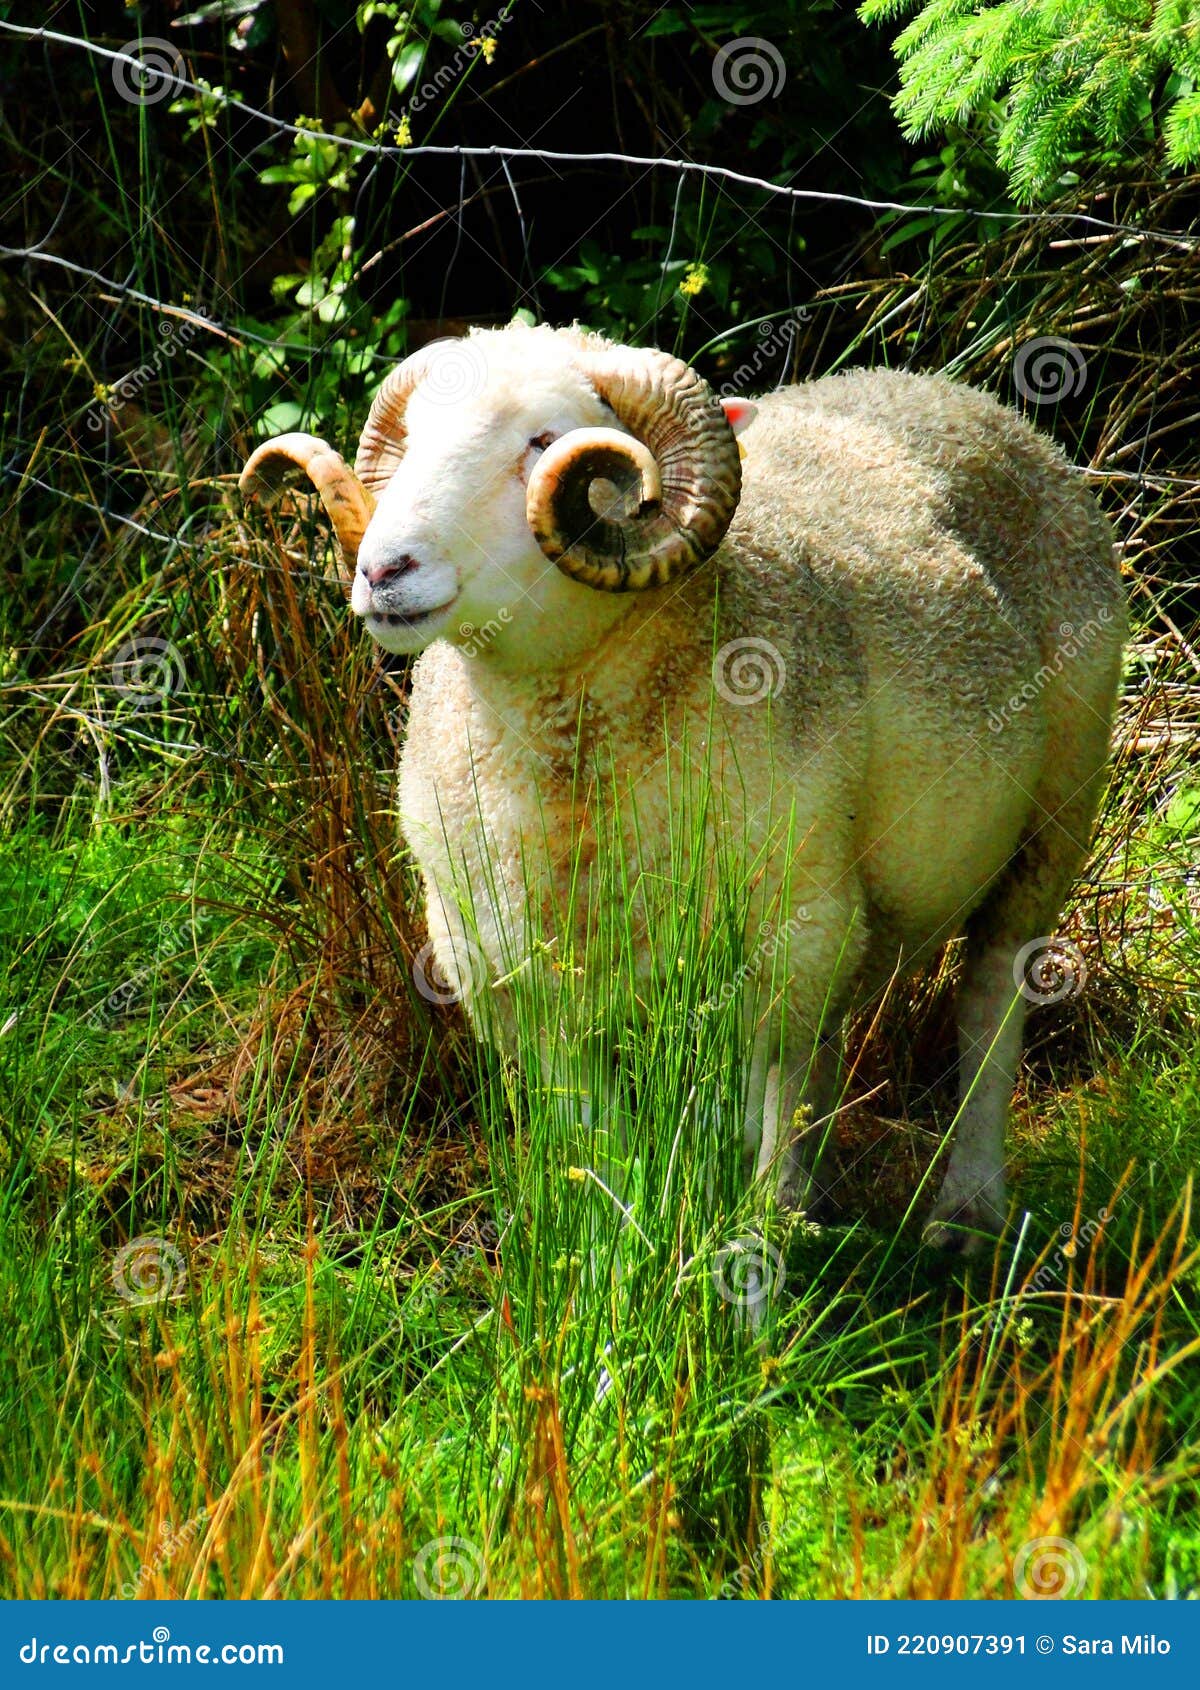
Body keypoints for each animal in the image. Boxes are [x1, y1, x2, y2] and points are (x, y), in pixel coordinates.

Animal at [241, 322, 1129, 1250]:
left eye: (546, 441)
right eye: (410, 442)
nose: (384, 570)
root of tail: (960, 395)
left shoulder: (792, 926)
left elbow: (764, 1106)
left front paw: (754, 1245)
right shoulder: (502, 967)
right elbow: (593, 1133)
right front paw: (612, 1241)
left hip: (1055, 814)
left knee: (991, 998)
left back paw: (967, 1211)